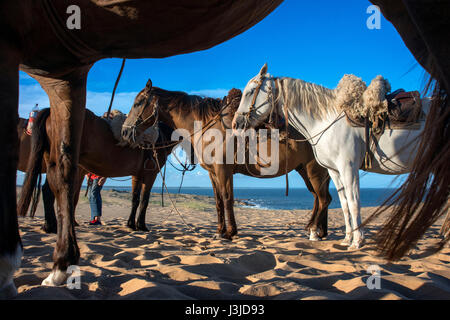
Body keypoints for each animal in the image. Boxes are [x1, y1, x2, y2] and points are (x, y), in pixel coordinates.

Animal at [18, 107, 174, 235]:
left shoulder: (137, 175)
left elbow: (135, 199)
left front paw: (131, 225)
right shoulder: (150, 175)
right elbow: (144, 200)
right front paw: (141, 226)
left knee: (47, 190)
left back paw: (50, 226)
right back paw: (52, 227)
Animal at [121, 80, 332, 240]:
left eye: (138, 103)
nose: (125, 132)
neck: (207, 127)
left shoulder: (223, 170)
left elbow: (227, 197)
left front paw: (230, 232)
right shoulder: (213, 173)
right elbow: (218, 200)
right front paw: (220, 231)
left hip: (314, 170)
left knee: (323, 199)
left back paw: (314, 232)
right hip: (306, 170)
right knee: (319, 198)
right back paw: (320, 231)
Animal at [232, 64, 432, 250]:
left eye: (250, 91)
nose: (236, 123)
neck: (327, 120)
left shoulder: (348, 167)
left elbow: (354, 202)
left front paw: (357, 241)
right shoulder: (334, 171)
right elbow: (344, 204)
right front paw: (347, 239)